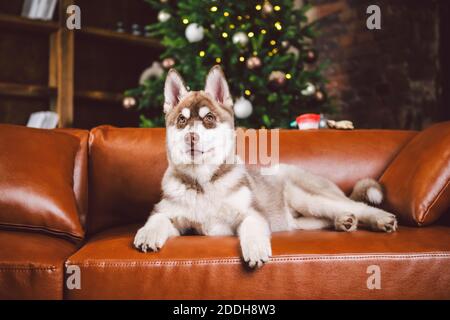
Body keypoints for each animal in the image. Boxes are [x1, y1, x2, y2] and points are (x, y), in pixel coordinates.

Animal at [134, 65, 398, 268]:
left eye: (209, 119)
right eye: (181, 120)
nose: (191, 137)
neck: (203, 184)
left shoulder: (251, 213)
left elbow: (252, 226)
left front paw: (256, 248)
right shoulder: (178, 220)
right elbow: (158, 218)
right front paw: (148, 233)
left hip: (307, 196)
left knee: (357, 206)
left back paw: (378, 218)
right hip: (300, 217)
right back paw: (343, 221)